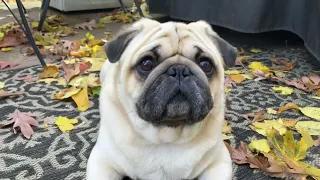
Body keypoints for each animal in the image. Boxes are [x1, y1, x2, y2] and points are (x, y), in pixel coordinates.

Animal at [87, 18, 238, 180]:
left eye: (205, 64)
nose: (179, 70)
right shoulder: (102, 162)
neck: (168, 135)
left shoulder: (219, 162)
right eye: (146, 63)